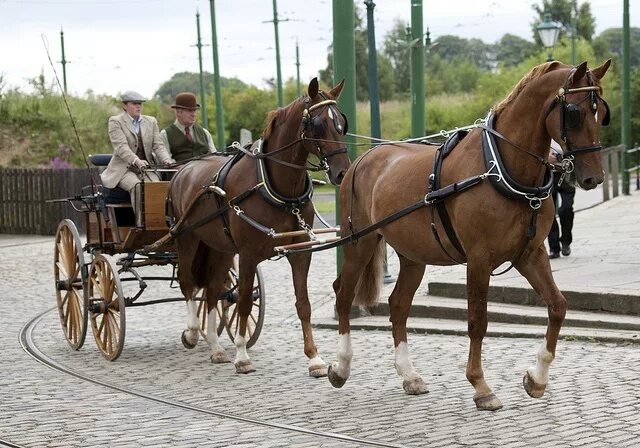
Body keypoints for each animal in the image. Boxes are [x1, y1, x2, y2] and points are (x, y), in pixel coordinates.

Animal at [168, 79, 350, 376]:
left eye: (341, 123)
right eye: (318, 124)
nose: (343, 173)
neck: (277, 189)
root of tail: (183, 170)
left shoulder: (300, 252)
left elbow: (303, 304)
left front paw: (314, 358)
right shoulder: (248, 255)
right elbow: (242, 301)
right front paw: (242, 355)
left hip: (220, 248)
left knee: (212, 290)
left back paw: (216, 347)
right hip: (187, 239)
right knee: (188, 283)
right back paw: (193, 332)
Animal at [328, 61, 612, 412]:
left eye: (602, 113)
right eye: (574, 112)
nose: (593, 178)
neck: (502, 167)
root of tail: (363, 160)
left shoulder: (530, 255)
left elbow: (557, 306)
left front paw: (537, 378)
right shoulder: (479, 260)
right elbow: (478, 320)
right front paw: (481, 386)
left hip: (413, 255)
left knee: (399, 305)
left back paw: (409, 375)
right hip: (359, 243)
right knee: (343, 295)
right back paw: (341, 367)